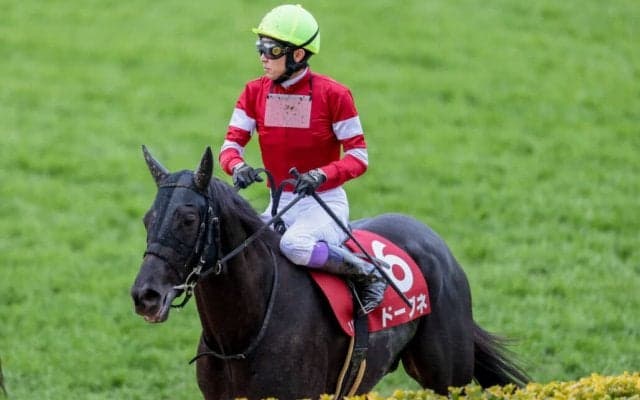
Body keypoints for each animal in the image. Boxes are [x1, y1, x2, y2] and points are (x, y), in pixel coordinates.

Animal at [130, 146, 529, 399]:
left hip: (447, 377)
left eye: (188, 219)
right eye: (147, 219)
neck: (240, 337)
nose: (145, 295)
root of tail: (436, 242)